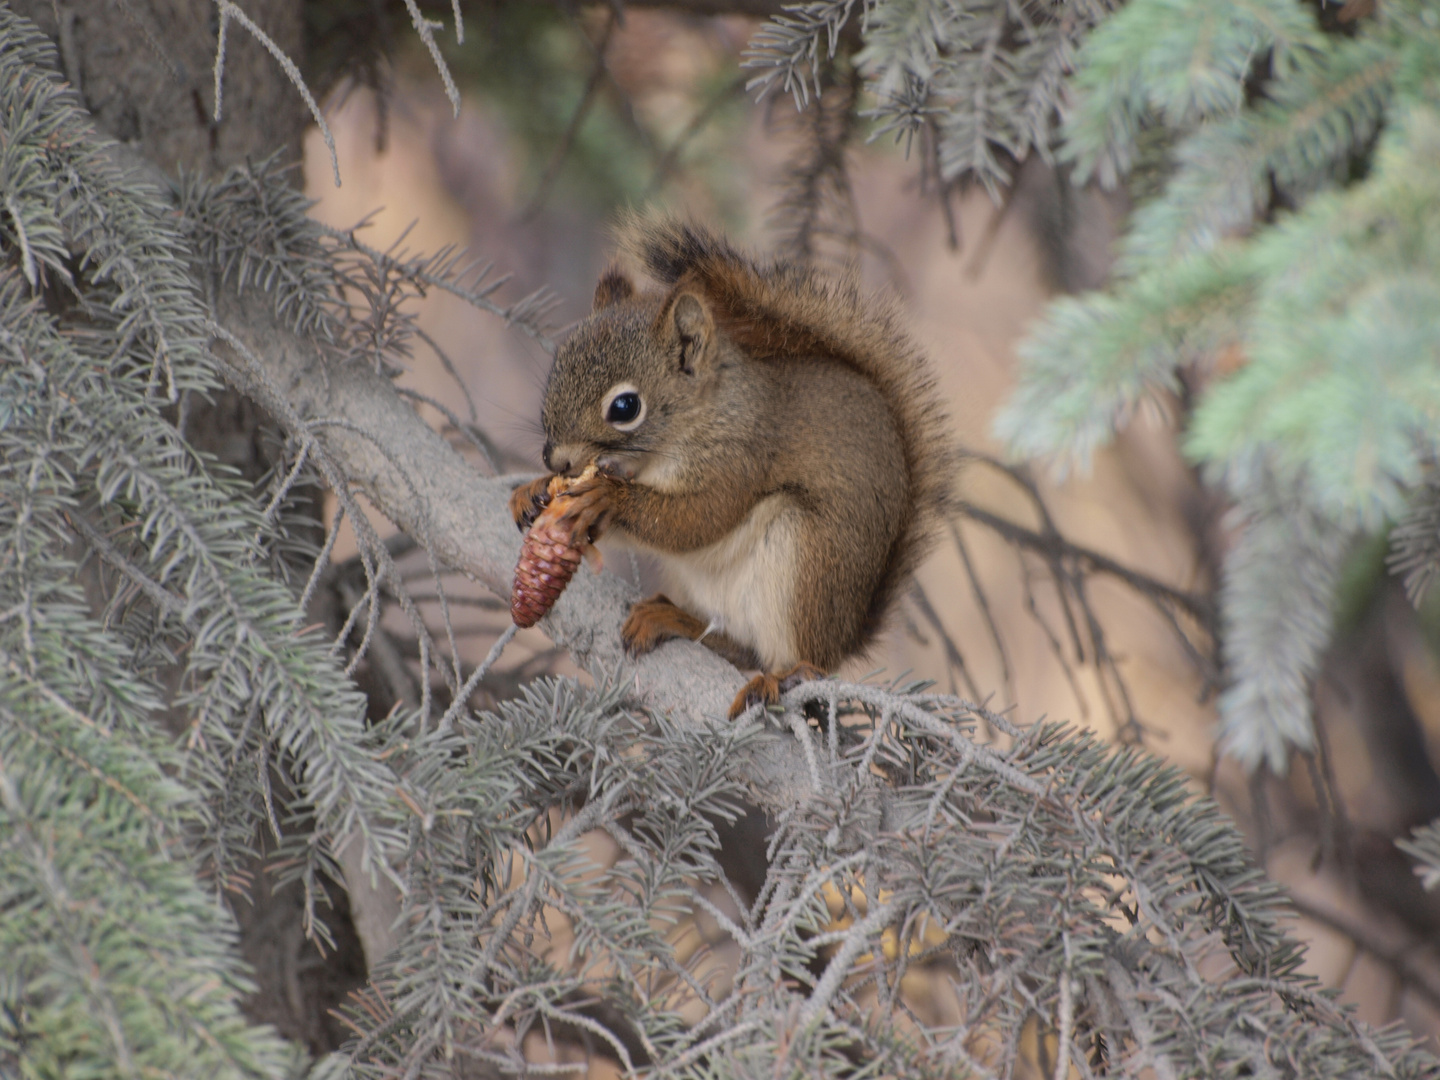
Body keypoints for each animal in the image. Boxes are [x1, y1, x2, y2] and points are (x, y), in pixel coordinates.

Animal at [512, 217, 950, 720]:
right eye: (556, 367)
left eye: (625, 407)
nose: (556, 460)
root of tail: (844, 637)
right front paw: (531, 491)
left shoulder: (743, 457)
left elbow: (697, 519)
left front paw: (608, 496)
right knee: (739, 646)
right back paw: (672, 618)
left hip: (805, 561)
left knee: (791, 659)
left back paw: (780, 678)